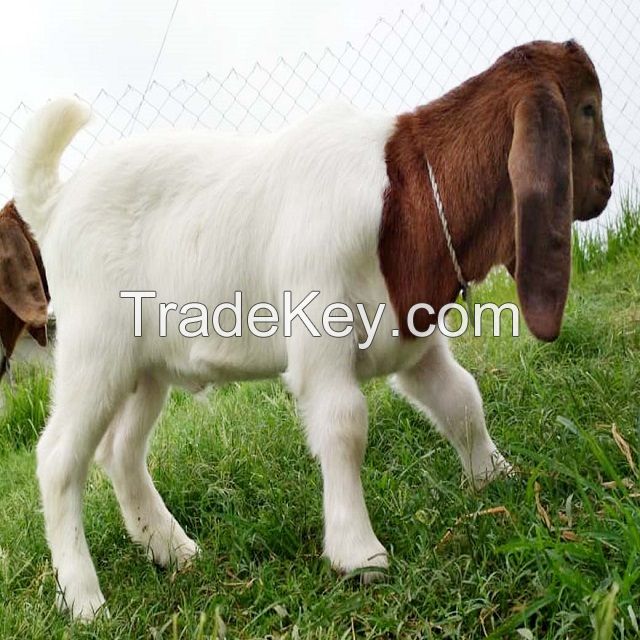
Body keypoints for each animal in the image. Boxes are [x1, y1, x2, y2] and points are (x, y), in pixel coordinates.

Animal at [12, 39, 613, 620]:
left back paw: (173, 550)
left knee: (121, 451)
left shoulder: (413, 341)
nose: (609, 182)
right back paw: (85, 601)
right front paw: (360, 554)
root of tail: (55, 206)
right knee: (59, 459)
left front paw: (498, 479)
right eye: (587, 108)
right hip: (96, 351)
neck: (404, 192)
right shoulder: (321, 337)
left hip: (146, 369)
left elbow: (461, 399)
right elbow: (344, 425)